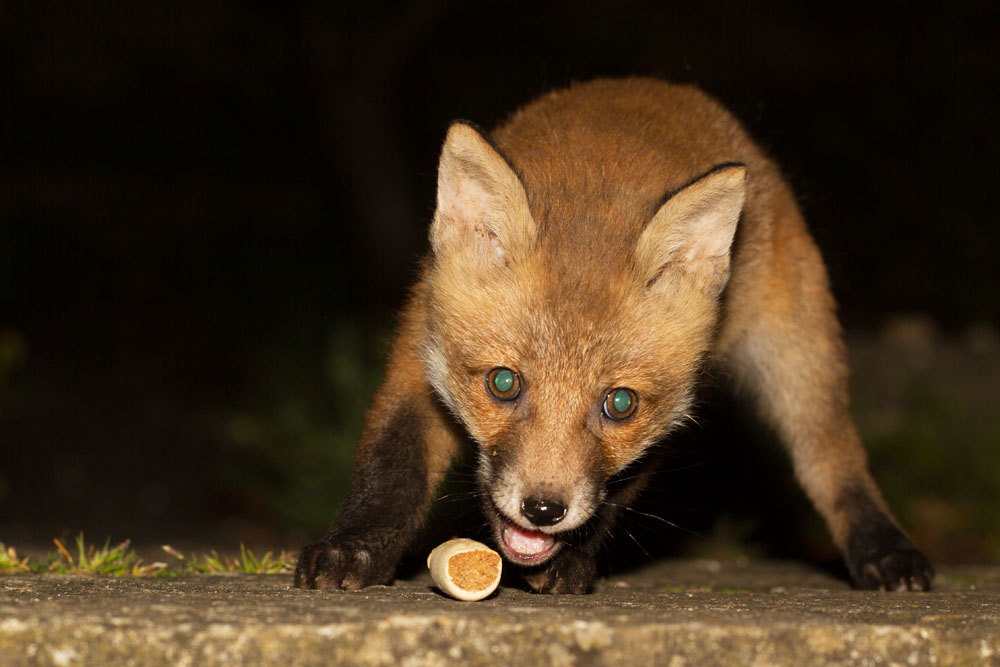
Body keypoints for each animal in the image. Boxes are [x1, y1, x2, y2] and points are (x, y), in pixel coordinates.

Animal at [295, 78, 934, 594]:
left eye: (619, 404)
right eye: (503, 384)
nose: (543, 509)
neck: (592, 192)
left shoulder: (675, 406)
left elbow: (620, 487)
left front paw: (572, 563)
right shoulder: (419, 347)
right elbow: (392, 463)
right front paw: (355, 547)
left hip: (798, 363)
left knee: (833, 463)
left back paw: (883, 548)